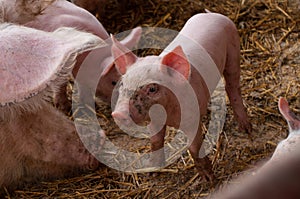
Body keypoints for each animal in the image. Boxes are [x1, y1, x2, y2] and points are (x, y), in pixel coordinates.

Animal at [110, 12, 251, 182]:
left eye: (152, 89)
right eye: (123, 83)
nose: (118, 113)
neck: (169, 116)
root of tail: (212, 14)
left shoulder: (192, 121)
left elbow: (195, 148)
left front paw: (209, 180)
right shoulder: (154, 121)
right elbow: (155, 142)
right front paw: (152, 171)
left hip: (233, 50)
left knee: (233, 87)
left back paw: (246, 129)